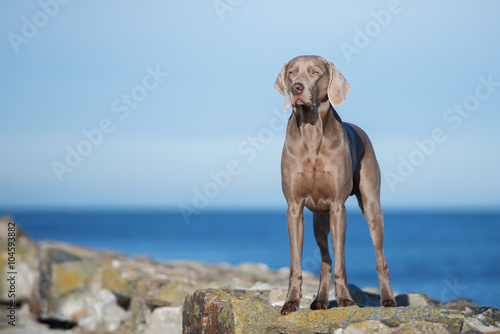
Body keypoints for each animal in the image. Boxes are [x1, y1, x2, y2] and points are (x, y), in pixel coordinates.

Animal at [276, 55, 396, 316]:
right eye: (291, 72)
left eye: (315, 72)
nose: (296, 88)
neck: (311, 132)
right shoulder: (294, 208)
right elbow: (296, 265)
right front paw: (291, 302)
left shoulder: (338, 208)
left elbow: (341, 262)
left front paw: (345, 300)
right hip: (319, 218)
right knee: (325, 261)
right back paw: (320, 301)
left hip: (371, 205)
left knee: (380, 258)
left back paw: (388, 299)